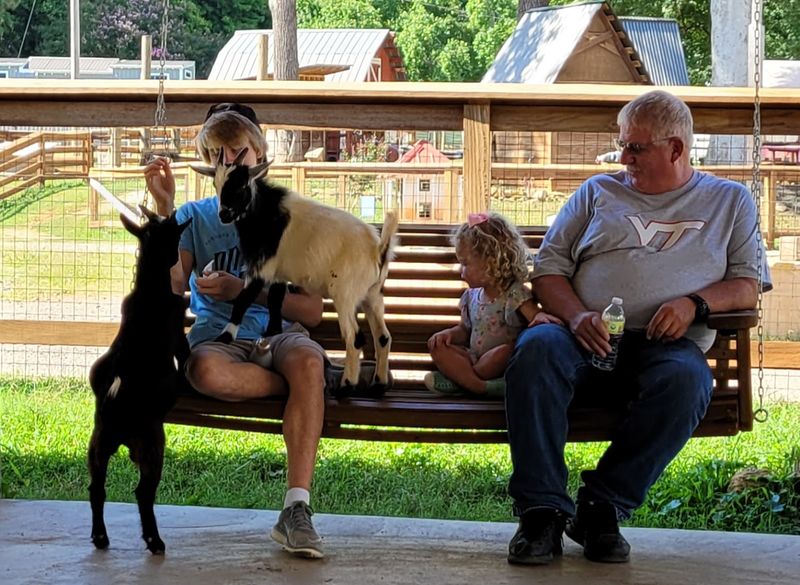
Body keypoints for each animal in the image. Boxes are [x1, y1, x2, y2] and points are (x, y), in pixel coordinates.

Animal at [87, 206, 191, 555]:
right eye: (173, 231)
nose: (173, 211)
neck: (149, 288)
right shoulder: (177, 329)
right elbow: (187, 354)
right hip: (152, 443)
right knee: (144, 492)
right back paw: (154, 540)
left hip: (98, 443)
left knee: (96, 487)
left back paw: (100, 537)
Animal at [191, 147, 399, 397]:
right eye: (217, 184)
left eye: (241, 186)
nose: (224, 215)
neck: (265, 214)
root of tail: (378, 250)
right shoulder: (279, 274)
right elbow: (275, 300)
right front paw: (271, 332)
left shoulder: (261, 269)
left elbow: (242, 300)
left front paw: (225, 336)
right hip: (373, 295)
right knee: (383, 337)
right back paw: (379, 384)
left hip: (345, 295)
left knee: (355, 338)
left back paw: (346, 386)